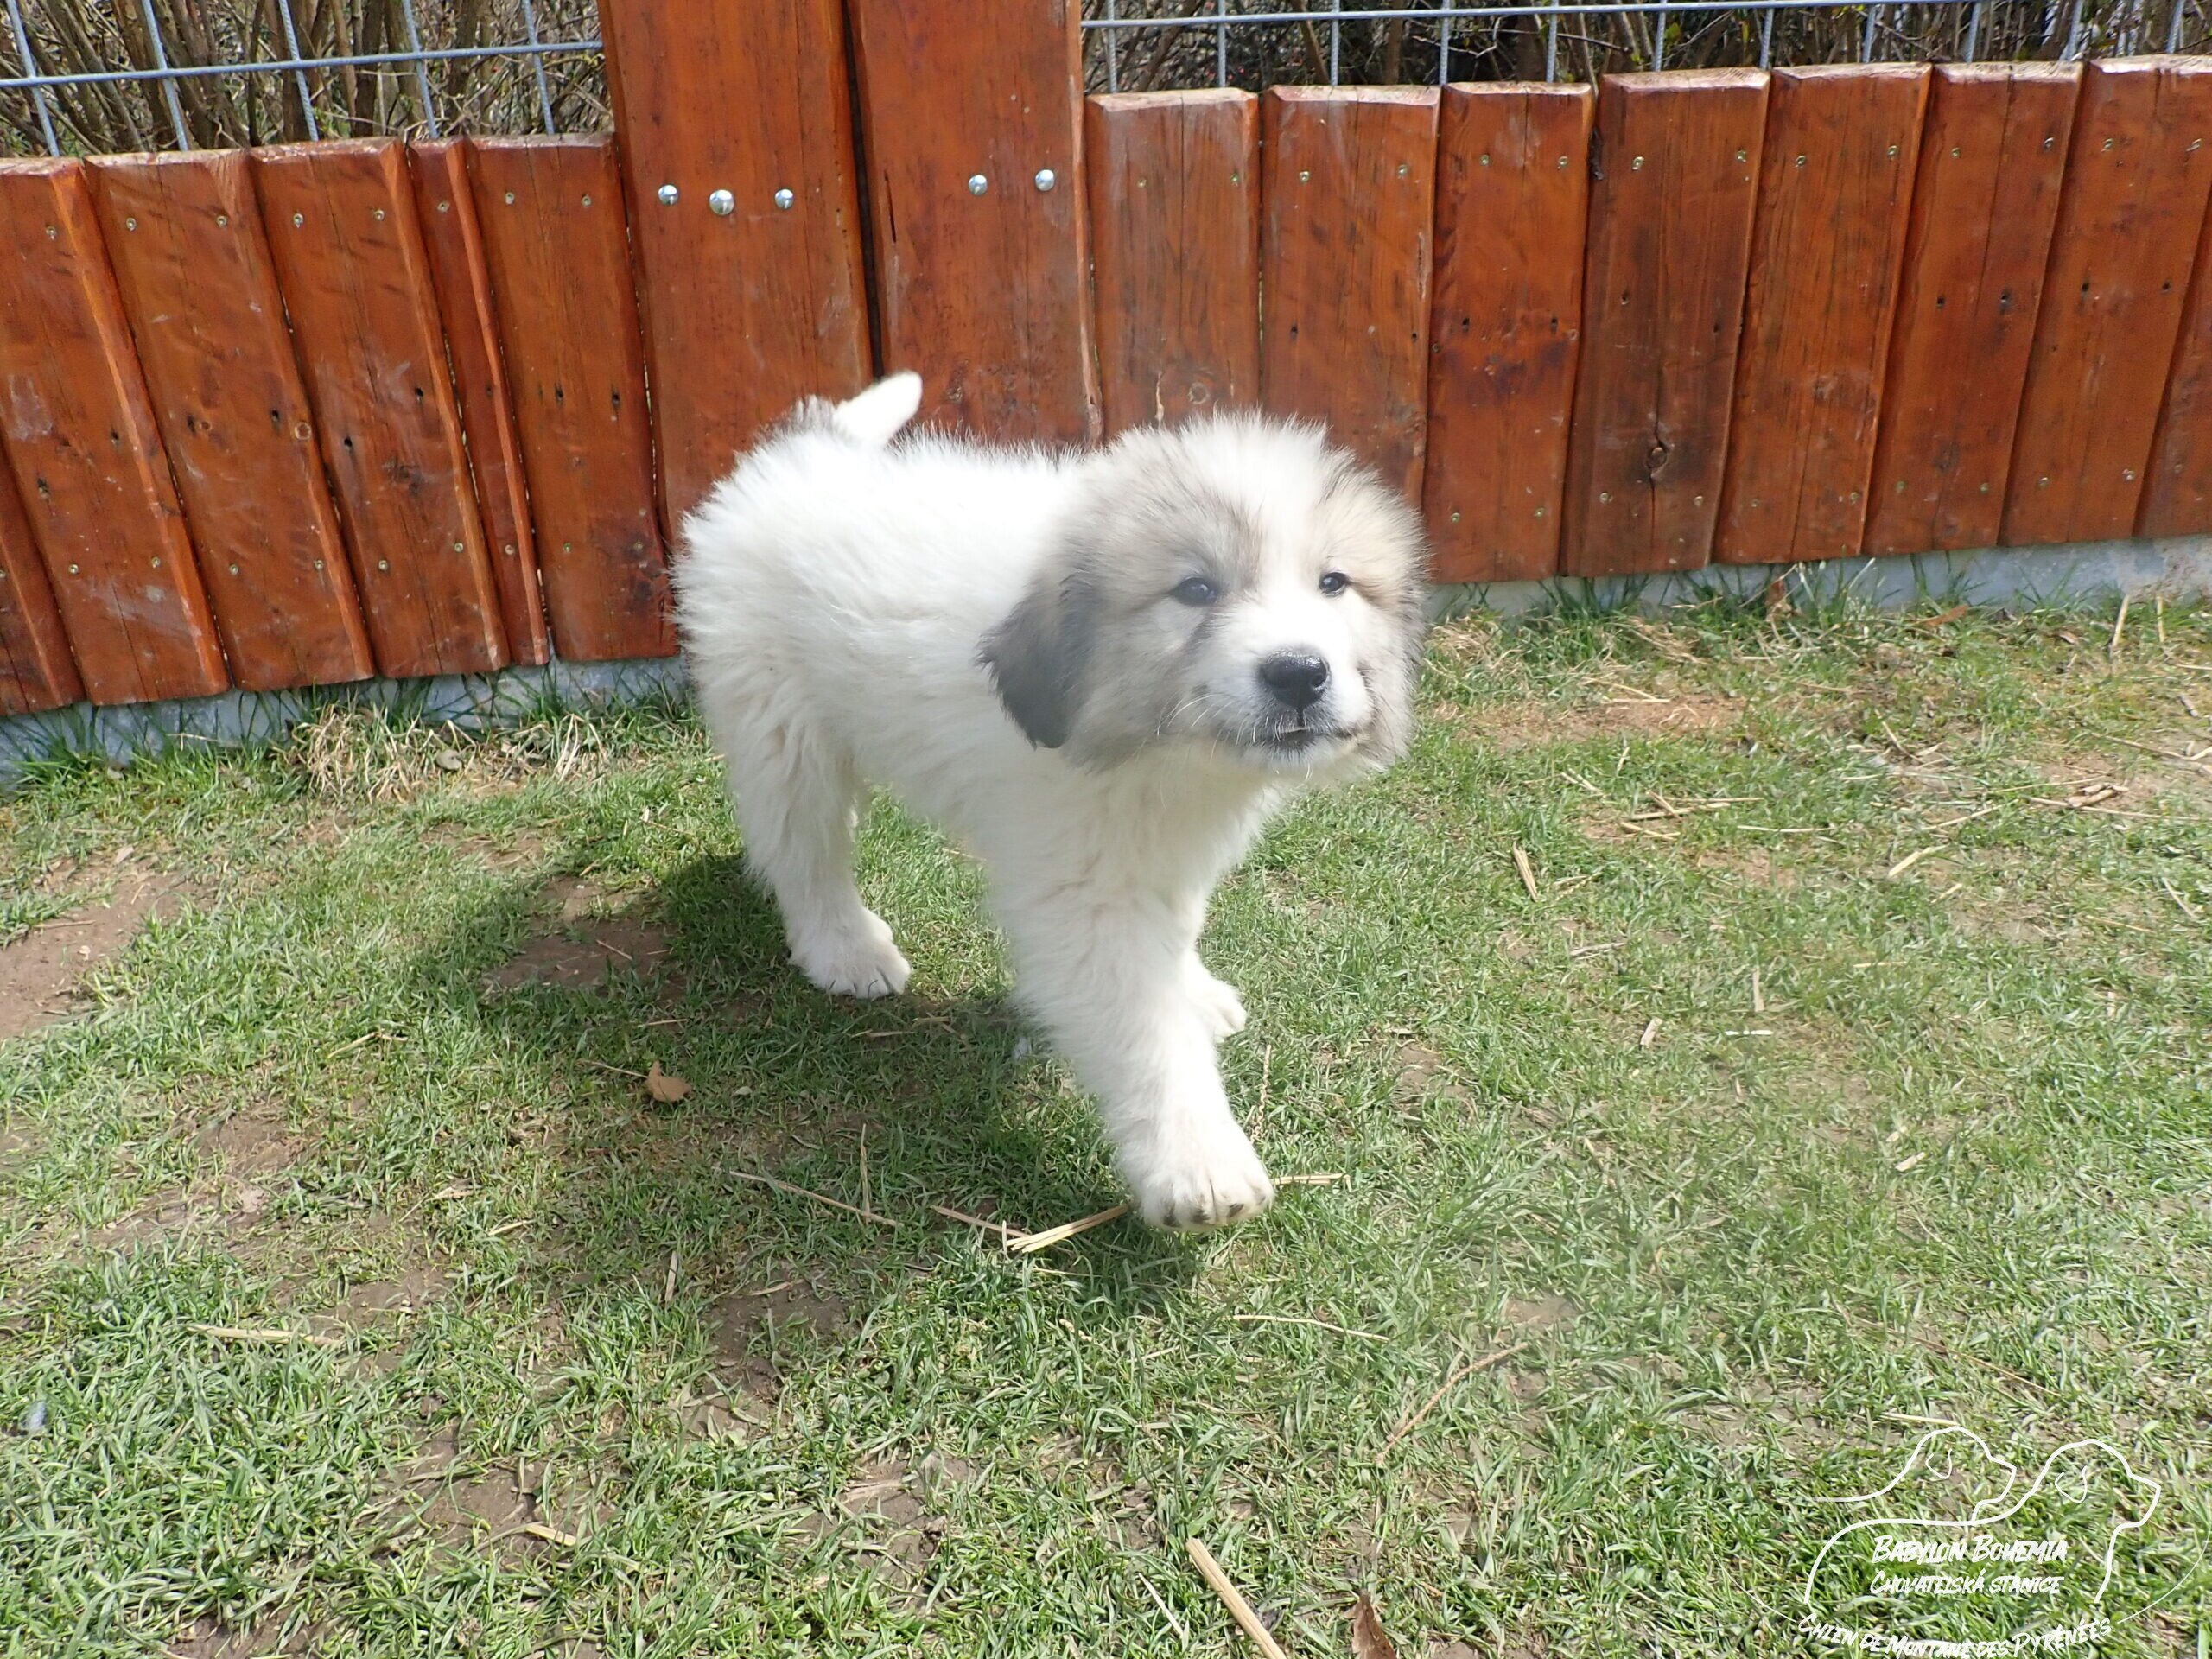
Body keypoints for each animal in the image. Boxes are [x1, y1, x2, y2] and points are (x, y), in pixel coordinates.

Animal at [675, 374, 1429, 1228]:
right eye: (1195, 589)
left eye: (1334, 583)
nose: (1299, 672)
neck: (1156, 745)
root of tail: (793, 456)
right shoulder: (1085, 896)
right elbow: (1143, 1032)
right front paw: (1198, 1166)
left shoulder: (1168, 844)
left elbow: (1175, 934)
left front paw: (1192, 992)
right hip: (780, 722)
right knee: (804, 849)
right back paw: (846, 949)